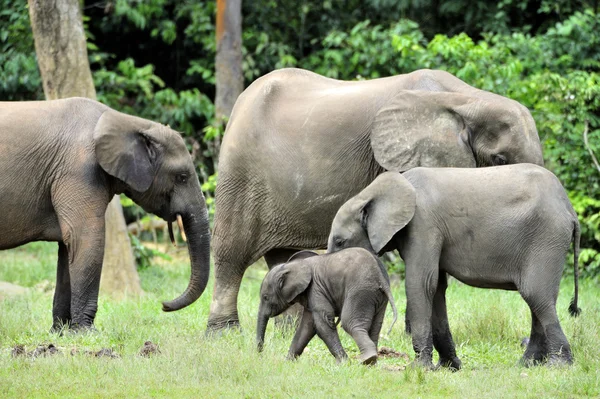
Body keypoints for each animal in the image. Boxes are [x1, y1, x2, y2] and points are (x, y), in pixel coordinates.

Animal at [0, 97, 211, 332]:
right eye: (182, 177)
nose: (163, 305)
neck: (127, 122)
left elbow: (68, 247)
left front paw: (61, 333)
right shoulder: (79, 170)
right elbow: (85, 238)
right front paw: (86, 333)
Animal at [209, 67, 548, 332]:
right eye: (500, 159)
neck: (468, 101)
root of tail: (241, 101)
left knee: (282, 255)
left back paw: (288, 329)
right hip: (240, 172)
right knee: (231, 250)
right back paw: (223, 333)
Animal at [255, 250, 396, 366]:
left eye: (265, 297)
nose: (260, 355)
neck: (291, 266)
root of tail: (380, 276)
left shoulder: (316, 289)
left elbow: (323, 324)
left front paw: (343, 363)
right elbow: (306, 327)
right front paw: (287, 362)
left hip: (360, 291)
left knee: (349, 323)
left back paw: (367, 359)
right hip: (378, 296)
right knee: (376, 326)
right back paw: (372, 363)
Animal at [328, 165, 580, 368]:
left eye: (340, 241)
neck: (369, 193)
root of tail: (570, 209)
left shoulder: (423, 224)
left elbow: (421, 283)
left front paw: (419, 368)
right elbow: (436, 288)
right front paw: (449, 367)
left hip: (546, 237)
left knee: (535, 295)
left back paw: (558, 366)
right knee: (539, 299)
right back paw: (526, 365)